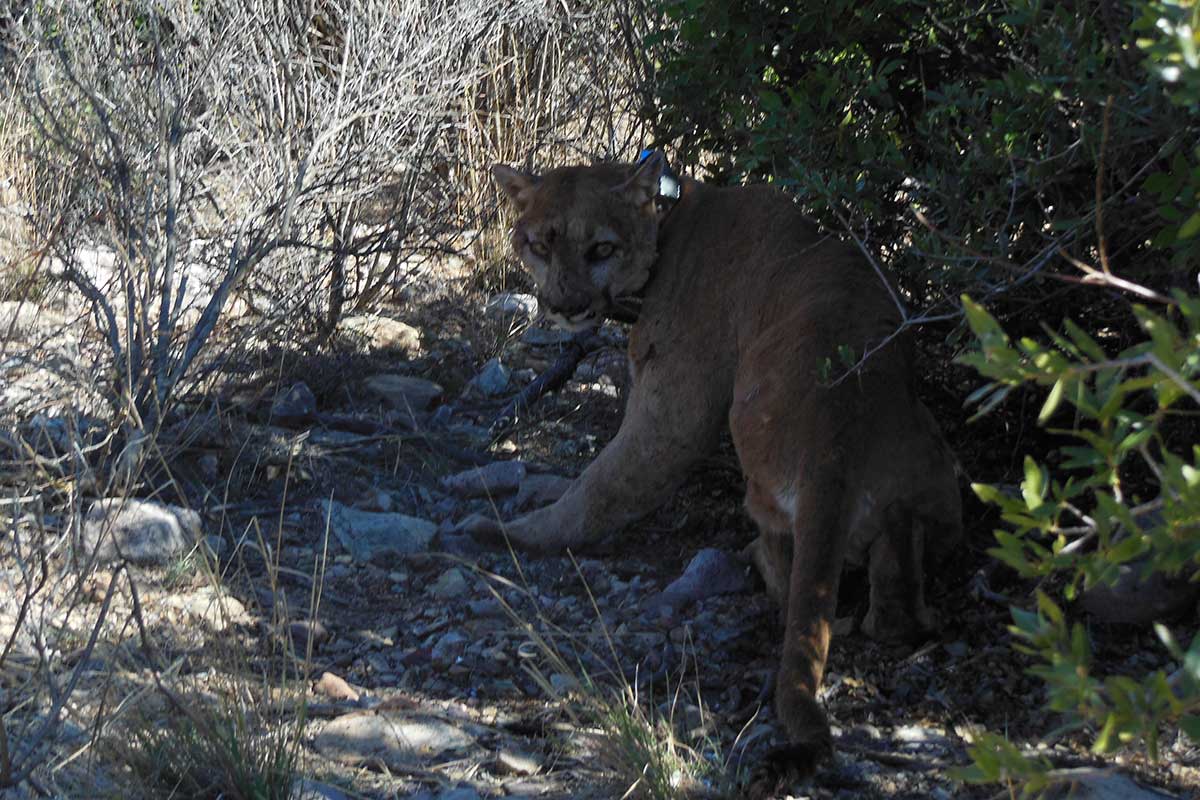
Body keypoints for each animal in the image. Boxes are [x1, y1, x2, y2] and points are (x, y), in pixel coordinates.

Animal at [481, 153, 962, 772]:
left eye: (601, 248)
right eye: (541, 243)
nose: (566, 309)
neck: (671, 217)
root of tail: (839, 427)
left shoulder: (674, 410)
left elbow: (607, 481)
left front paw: (515, 531)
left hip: (751, 436)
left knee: (787, 568)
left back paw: (753, 555)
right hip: (932, 481)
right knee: (893, 614)